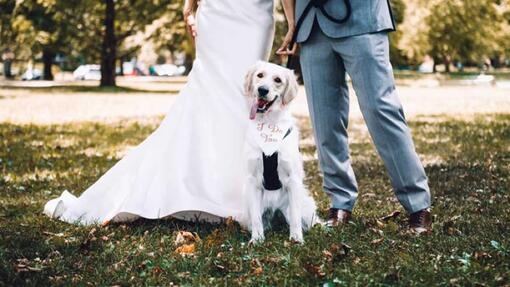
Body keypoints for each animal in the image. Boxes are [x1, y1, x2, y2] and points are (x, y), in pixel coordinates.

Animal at [243, 62, 318, 244]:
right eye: (260, 75)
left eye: (278, 80)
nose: (262, 90)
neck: (269, 124)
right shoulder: (252, 180)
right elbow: (256, 218)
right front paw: (256, 239)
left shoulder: (293, 179)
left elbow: (296, 216)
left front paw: (296, 239)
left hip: (305, 205)